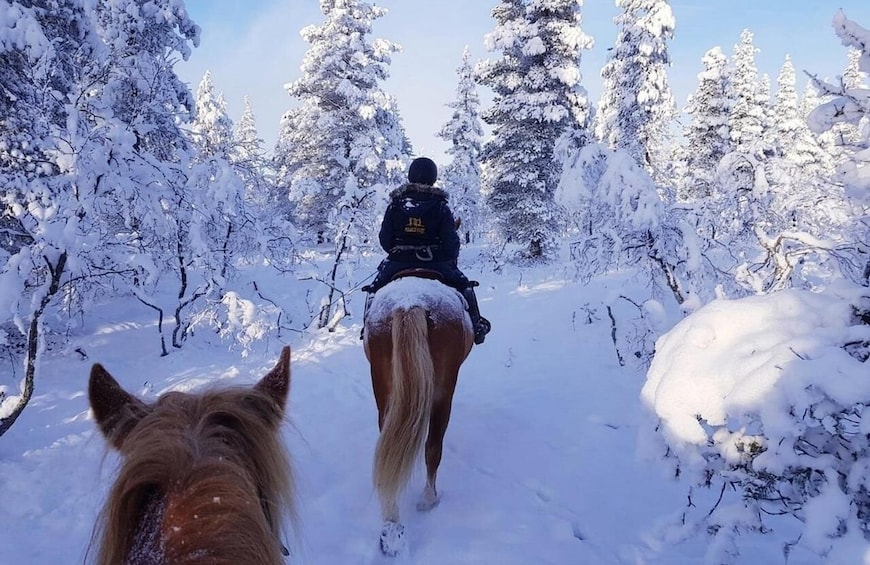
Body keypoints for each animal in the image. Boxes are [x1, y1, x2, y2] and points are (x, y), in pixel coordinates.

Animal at [362, 276, 476, 552]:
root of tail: (409, 303)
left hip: (385, 393)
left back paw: (392, 526)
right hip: (443, 394)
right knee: (433, 447)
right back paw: (429, 499)